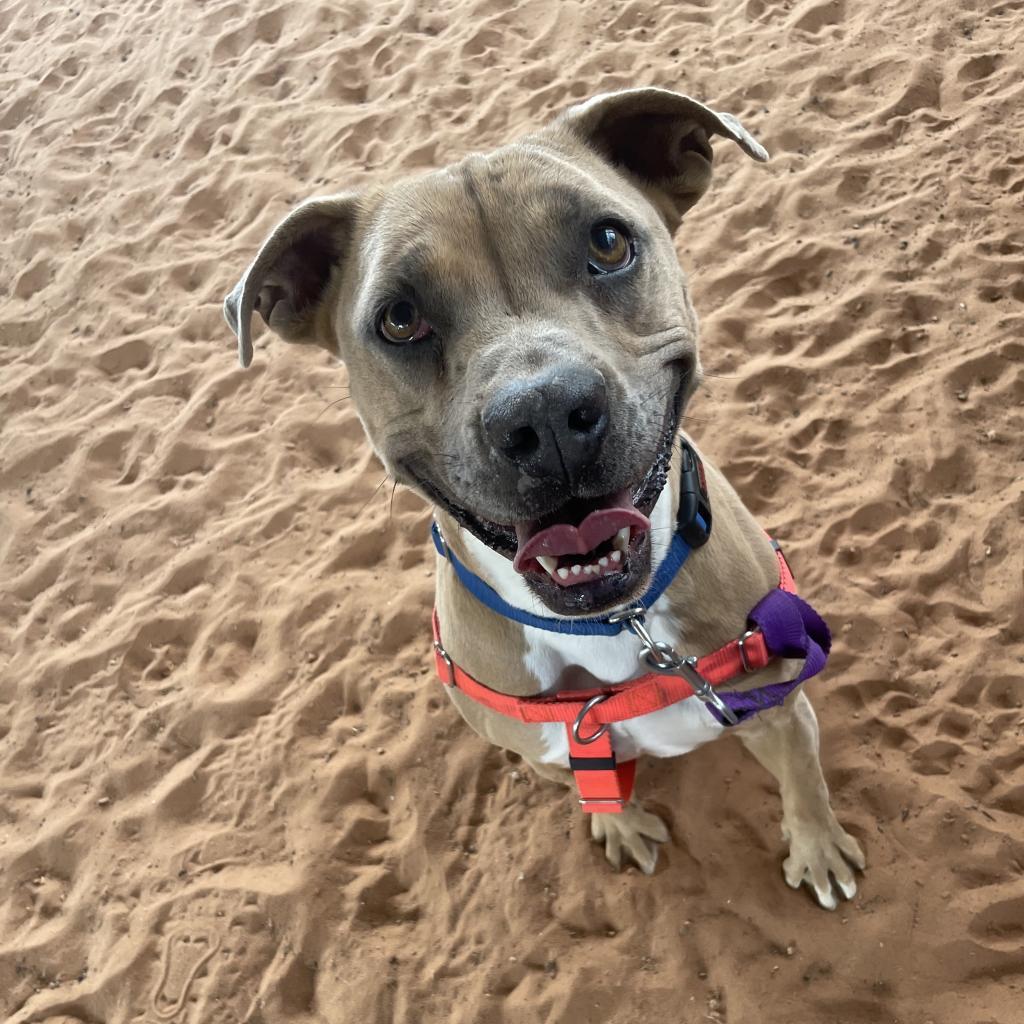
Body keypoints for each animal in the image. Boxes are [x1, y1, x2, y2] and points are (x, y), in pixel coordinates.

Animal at [222, 83, 864, 909]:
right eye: (398, 318)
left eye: (609, 242)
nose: (547, 413)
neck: (617, 625)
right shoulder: (548, 752)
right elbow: (597, 792)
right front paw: (621, 825)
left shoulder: (778, 707)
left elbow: (805, 784)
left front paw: (818, 850)